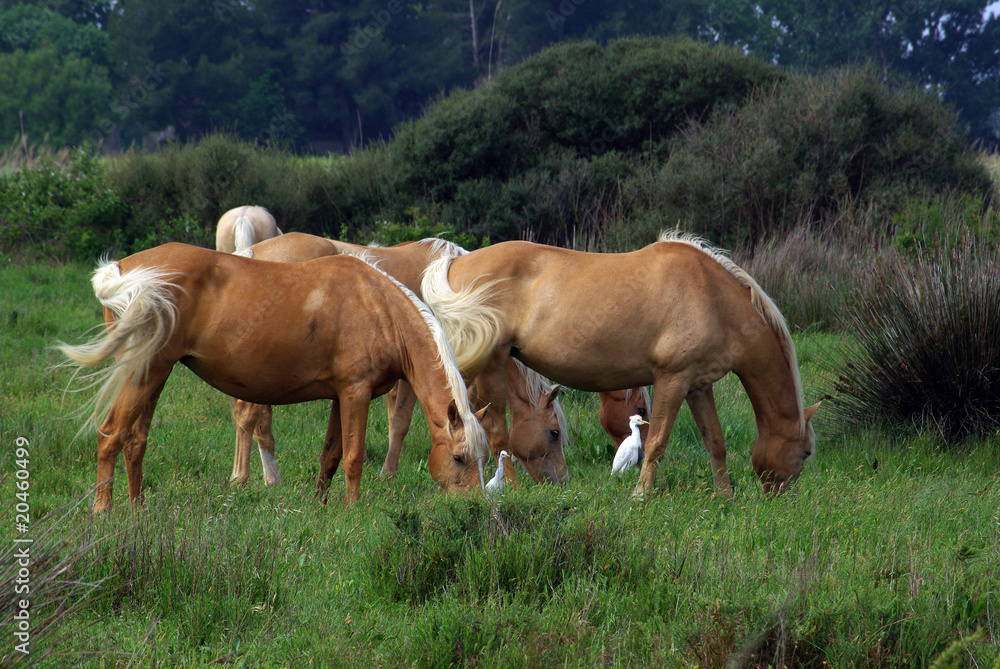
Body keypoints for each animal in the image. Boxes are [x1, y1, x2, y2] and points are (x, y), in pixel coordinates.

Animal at [57, 243, 489, 512]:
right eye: (458, 458)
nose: (473, 508)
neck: (379, 306)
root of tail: (123, 271)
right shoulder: (356, 392)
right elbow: (353, 457)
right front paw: (352, 511)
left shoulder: (339, 396)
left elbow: (330, 455)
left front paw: (320, 507)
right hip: (145, 372)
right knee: (112, 434)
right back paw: (103, 511)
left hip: (152, 375)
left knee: (136, 440)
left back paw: (137, 510)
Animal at [227, 232, 568, 486]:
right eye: (554, 433)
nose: (559, 481)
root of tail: (252, 253)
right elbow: (403, 422)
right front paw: (388, 474)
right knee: (250, 416)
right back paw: (251, 478)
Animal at [420, 232, 820, 497]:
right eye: (806, 452)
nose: (781, 498)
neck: (713, 296)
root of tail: (455, 263)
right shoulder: (673, 380)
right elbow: (657, 441)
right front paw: (640, 496)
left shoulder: (698, 384)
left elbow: (715, 442)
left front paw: (724, 495)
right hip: (492, 364)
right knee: (496, 431)